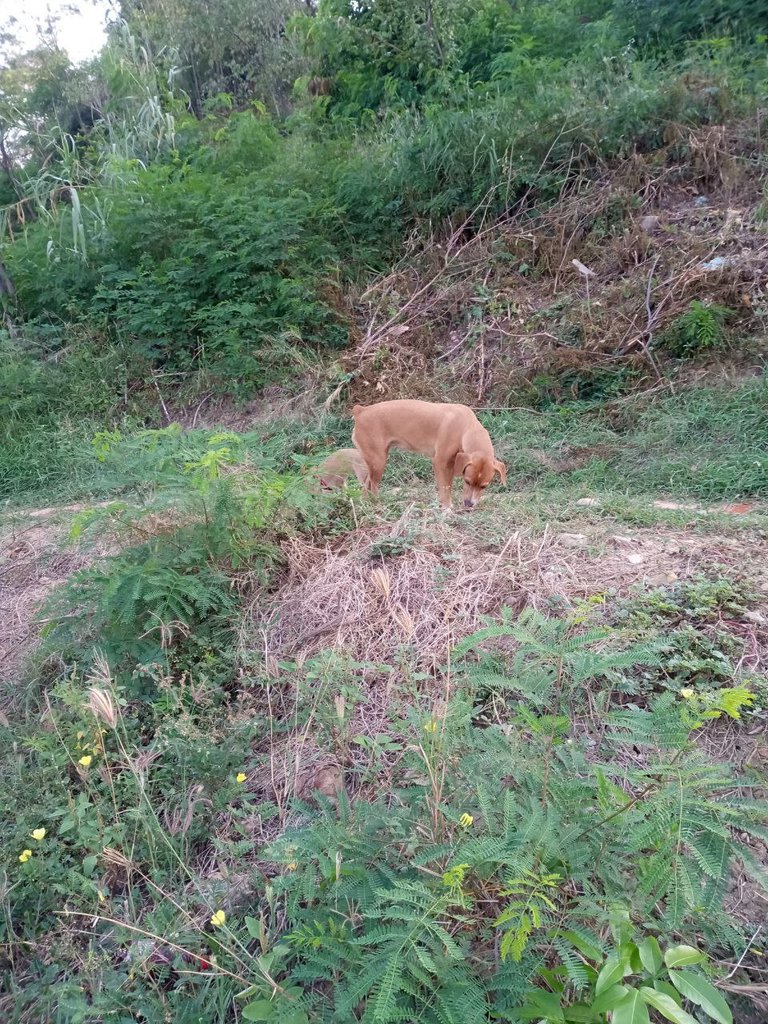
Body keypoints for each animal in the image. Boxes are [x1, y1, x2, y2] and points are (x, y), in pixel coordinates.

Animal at [352, 401, 507, 509]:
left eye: (484, 487)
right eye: (467, 481)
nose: (469, 504)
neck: (466, 427)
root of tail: (361, 410)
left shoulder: (452, 465)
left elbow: (448, 486)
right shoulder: (439, 462)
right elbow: (444, 488)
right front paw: (446, 509)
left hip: (372, 465)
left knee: (365, 487)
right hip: (378, 463)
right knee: (373, 487)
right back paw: (378, 505)